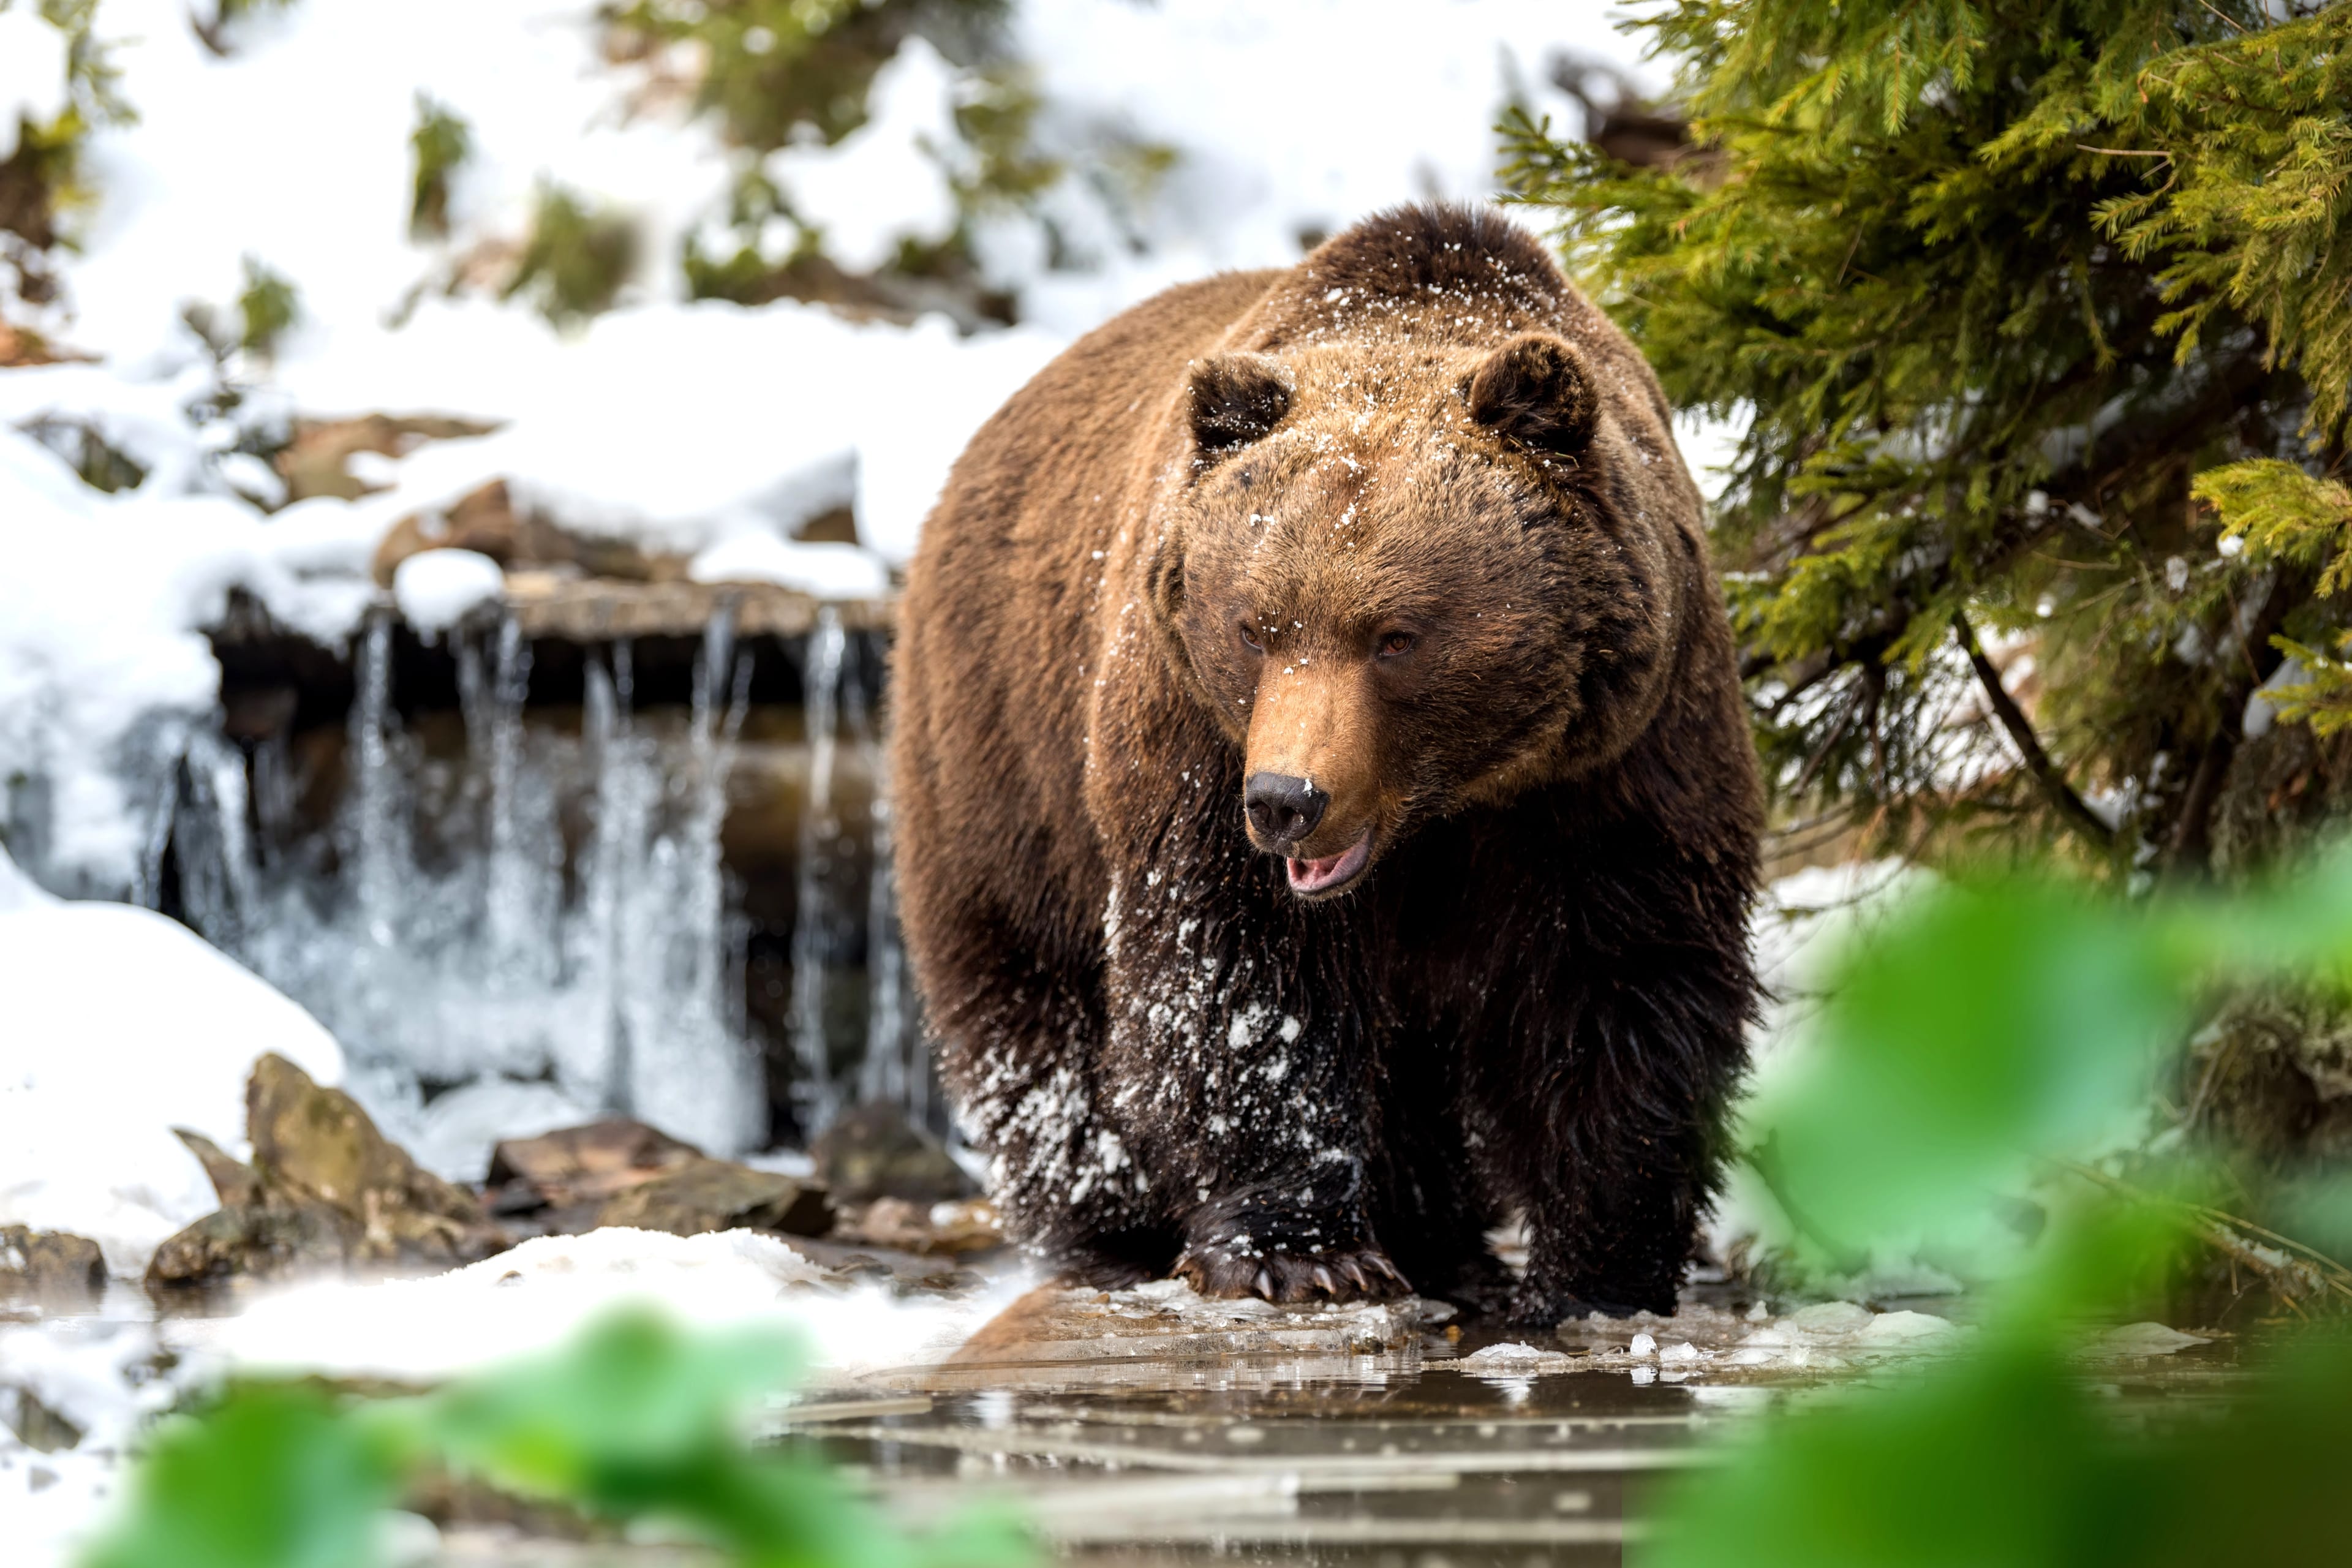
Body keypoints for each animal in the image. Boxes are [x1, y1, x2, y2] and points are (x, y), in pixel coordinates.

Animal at [888, 203, 1760, 1324]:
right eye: (1255, 627)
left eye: (1396, 636)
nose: (1287, 801)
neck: (1445, 806)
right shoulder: (1194, 741)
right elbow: (1241, 978)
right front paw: (1299, 1250)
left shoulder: (1616, 759)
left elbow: (1617, 976)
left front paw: (1595, 1270)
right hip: (1003, 752)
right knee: (1035, 998)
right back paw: (1113, 1225)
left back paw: (1441, 1237)